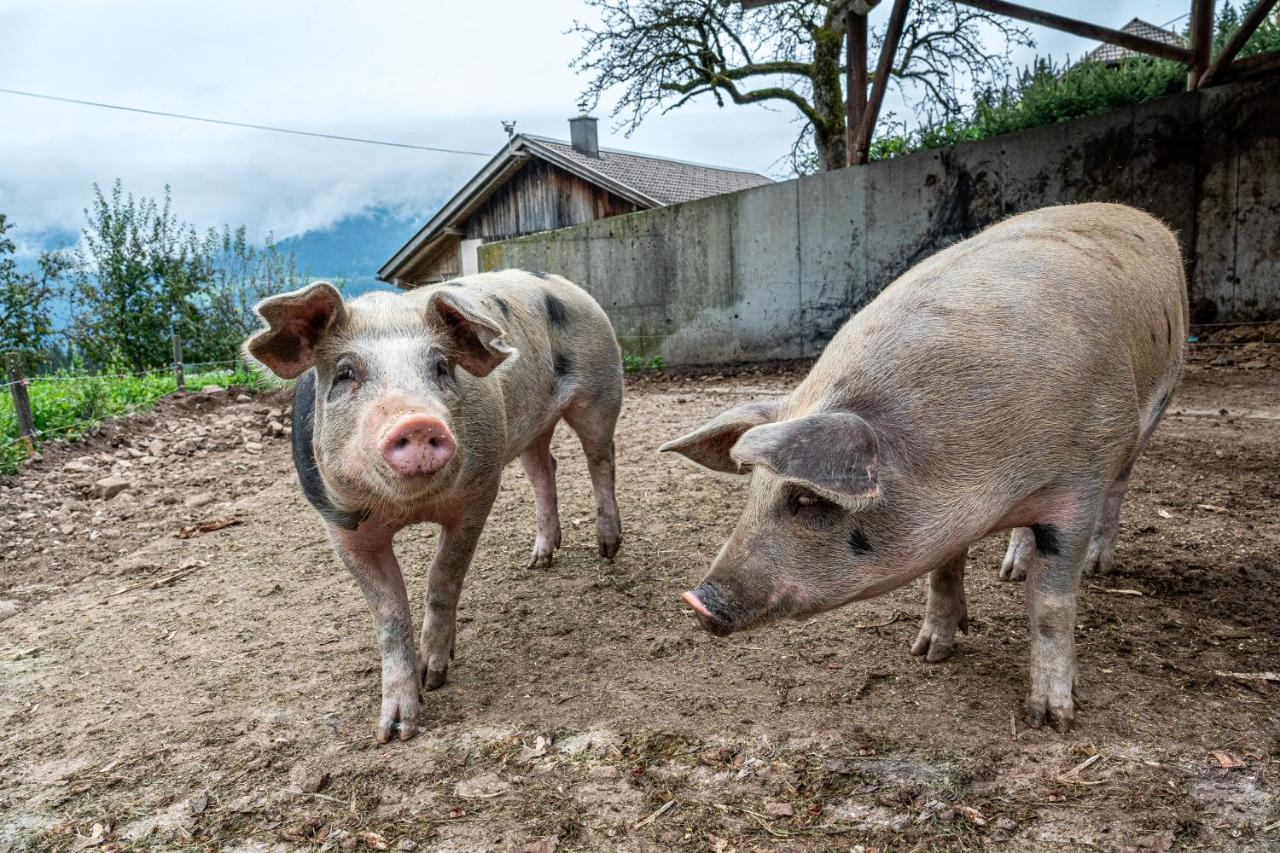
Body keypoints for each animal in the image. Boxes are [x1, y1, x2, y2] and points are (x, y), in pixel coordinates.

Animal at [245, 268, 624, 742]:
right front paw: (394, 731)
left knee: (600, 458)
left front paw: (435, 676)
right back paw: (539, 560)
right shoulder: (342, 527)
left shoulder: (480, 491)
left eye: (442, 367)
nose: (418, 422)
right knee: (545, 469)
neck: (408, 511)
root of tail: (562, 283)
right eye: (346, 373)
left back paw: (608, 548)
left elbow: (443, 578)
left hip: (602, 387)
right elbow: (389, 616)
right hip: (527, 427)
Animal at [665, 204, 1182, 732]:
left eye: (807, 496)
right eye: (752, 490)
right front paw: (927, 653)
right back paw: (1011, 571)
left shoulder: (1080, 483)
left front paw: (1053, 719)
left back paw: (1096, 566)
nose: (697, 600)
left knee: (1119, 490)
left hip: (1151, 413)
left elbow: (1051, 605)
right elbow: (942, 572)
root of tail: (1140, 217)